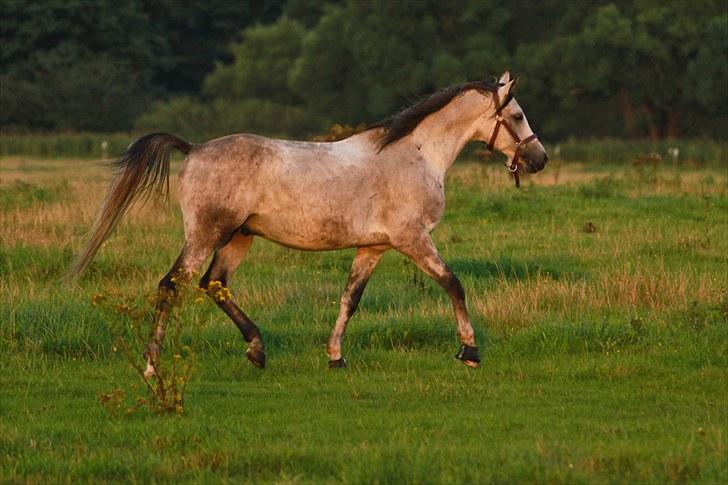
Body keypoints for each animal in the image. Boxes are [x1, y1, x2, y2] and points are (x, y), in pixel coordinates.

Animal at [71, 70, 544, 376]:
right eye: (518, 116)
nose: (539, 159)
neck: (415, 154)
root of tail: (194, 149)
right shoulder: (412, 239)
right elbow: (453, 284)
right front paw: (470, 351)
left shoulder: (373, 247)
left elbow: (350, 299)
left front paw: (335, 357)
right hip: (206, 235)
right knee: (172, 286)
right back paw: (152, 366)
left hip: (238, 238)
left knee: (214, 284)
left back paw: (257, 351)